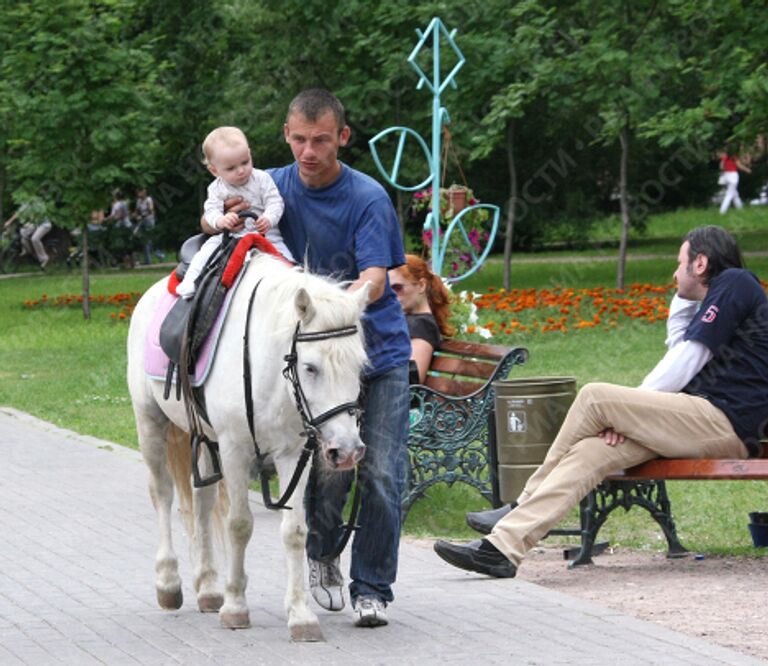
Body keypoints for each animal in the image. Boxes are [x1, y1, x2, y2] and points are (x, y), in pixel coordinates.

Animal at [127, 253, 370, 640]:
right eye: (310, 367)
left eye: (359, 365)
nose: (346, 450)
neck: (264, 368)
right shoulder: (234, 451)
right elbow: (239, 525)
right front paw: (236, 607)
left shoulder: (292, 455)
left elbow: (295, 532)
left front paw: (300, 615)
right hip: (150, 422)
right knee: (162, 494)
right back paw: (168, 582)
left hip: (204, 442)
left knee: (201, 501)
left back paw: (209, 587)